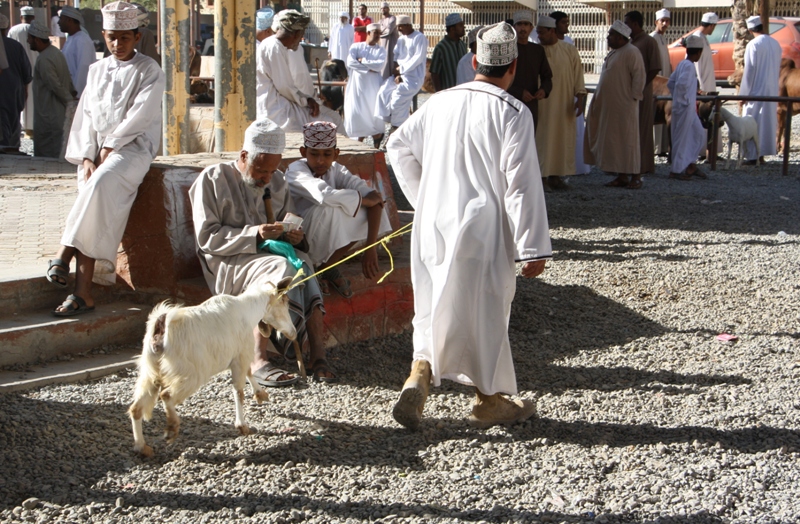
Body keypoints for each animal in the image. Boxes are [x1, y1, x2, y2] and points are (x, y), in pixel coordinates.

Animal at [129, 276, 296, 456]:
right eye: (285, 301)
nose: (293, 333)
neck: (247, 309)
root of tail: (161, 328)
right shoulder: (241, 355)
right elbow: (239, 391)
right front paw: (242, 426)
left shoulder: (238, 356)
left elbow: (249, 372)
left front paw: (261, 394)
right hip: (189, 373)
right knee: (166, 395)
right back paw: (171, 429)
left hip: (150, 372)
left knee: (136, 408)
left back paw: (141, 446)